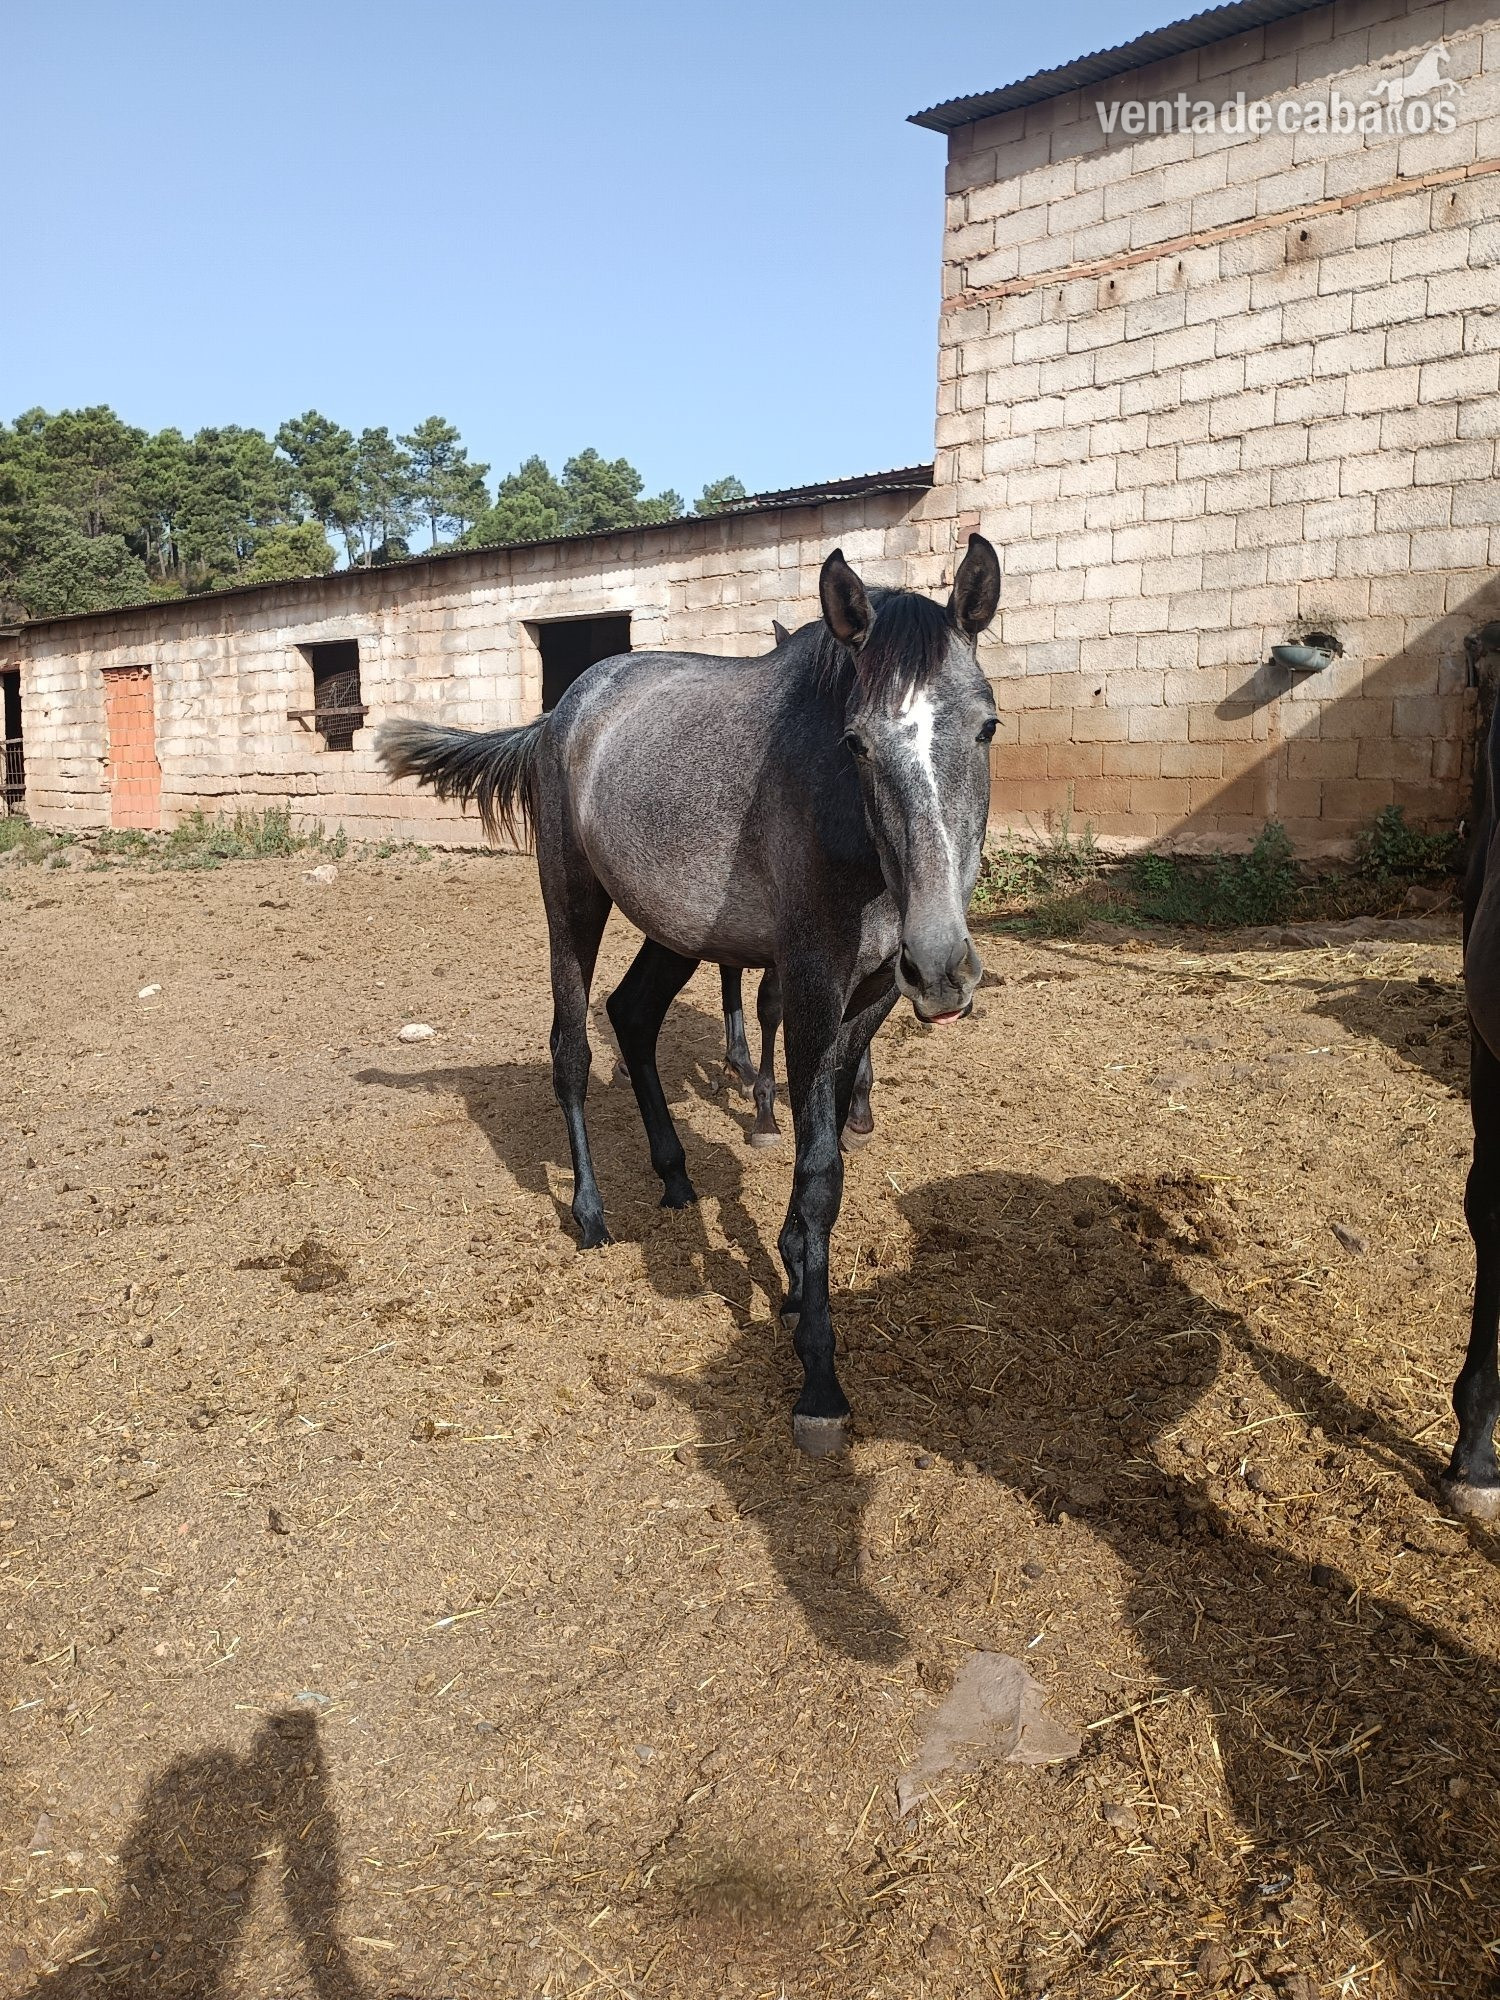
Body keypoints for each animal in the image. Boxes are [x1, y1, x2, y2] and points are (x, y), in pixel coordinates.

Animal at [378, 536, 1001, 1453]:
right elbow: (819, 1168)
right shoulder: (810, 983)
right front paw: (818, 1377)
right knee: (571, 1047)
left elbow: (830, 1155)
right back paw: (591, 1214)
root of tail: (559, 714)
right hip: (572, 901)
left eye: (987, 725)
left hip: (674, 931)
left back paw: (674, 1179)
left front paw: (792, 1279)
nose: (944, 968)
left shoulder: (874, 993)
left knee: (632, 1015)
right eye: (855, 743)